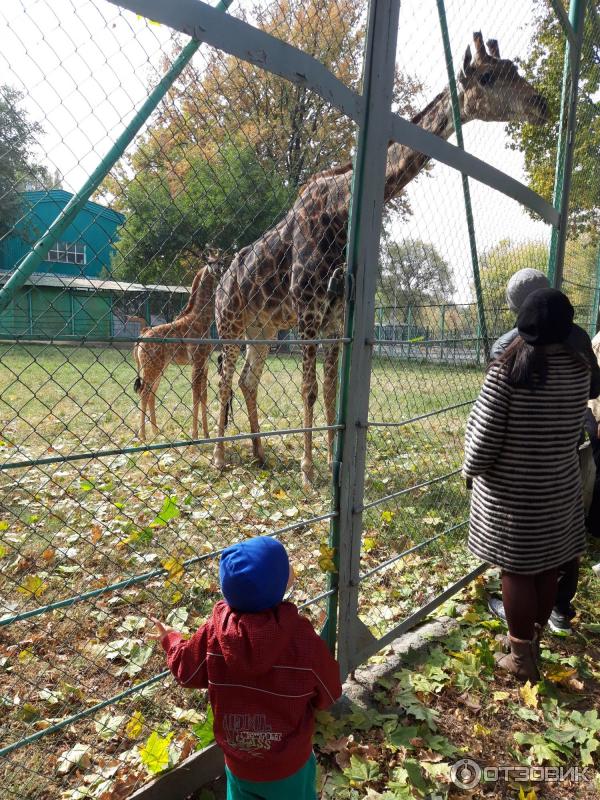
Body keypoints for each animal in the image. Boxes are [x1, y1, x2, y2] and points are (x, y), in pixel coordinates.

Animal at [212, 34, 548, 488]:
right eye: (488, 76)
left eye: (515, 69)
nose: (541, 104)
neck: (340, 209)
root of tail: (220, 282)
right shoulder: (308, 309)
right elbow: (309, 391)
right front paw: (307, 471)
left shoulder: (336, 316)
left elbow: (332, 393)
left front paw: (328, 460)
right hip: (229, 323)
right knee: (226, 380)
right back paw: (219, 457)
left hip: (261, 330)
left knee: (248, 380)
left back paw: (260, 454)